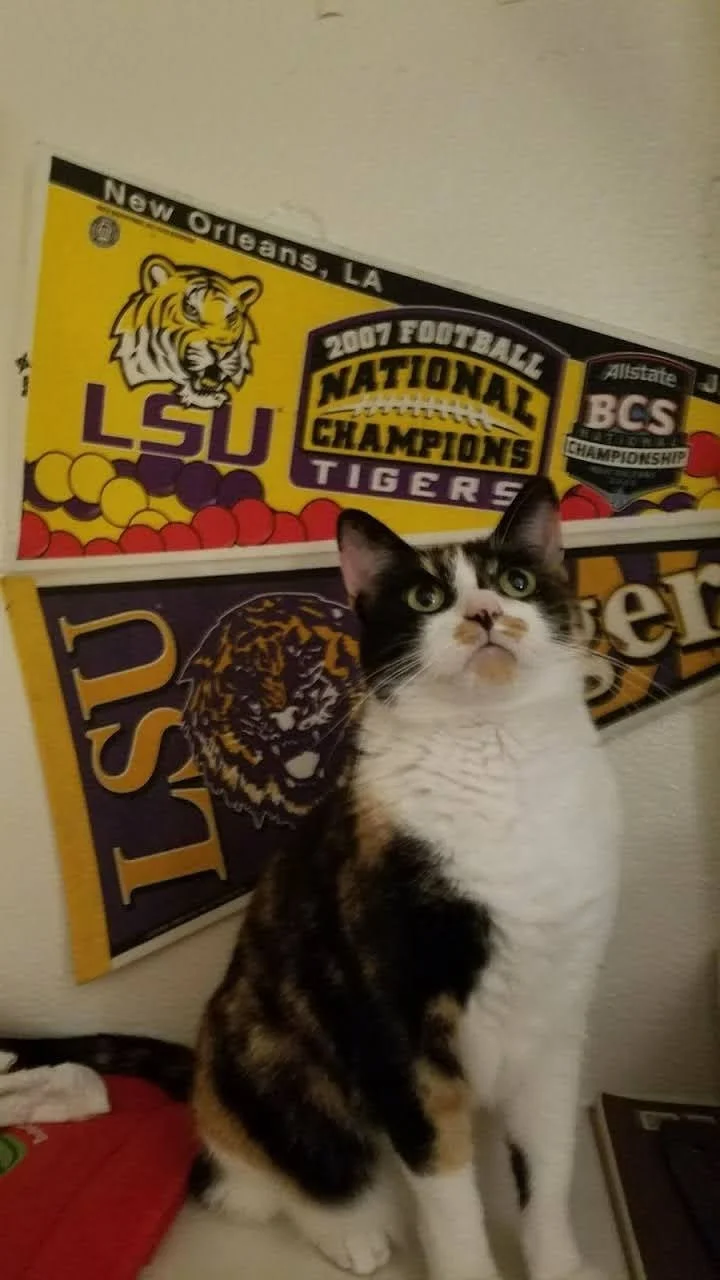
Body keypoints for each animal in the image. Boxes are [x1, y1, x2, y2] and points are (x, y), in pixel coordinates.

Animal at [2, 478, 619, 1280]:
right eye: (426, 598)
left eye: (516, 582)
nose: (484, 613)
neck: (498, 761)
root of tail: (201, 1074)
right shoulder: (397, 1036)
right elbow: (448, 1196)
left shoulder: (555, 1021)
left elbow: (549, 1169)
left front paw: (562, 1266)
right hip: (271, 1052)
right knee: (260, 1178)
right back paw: (350, 1229)